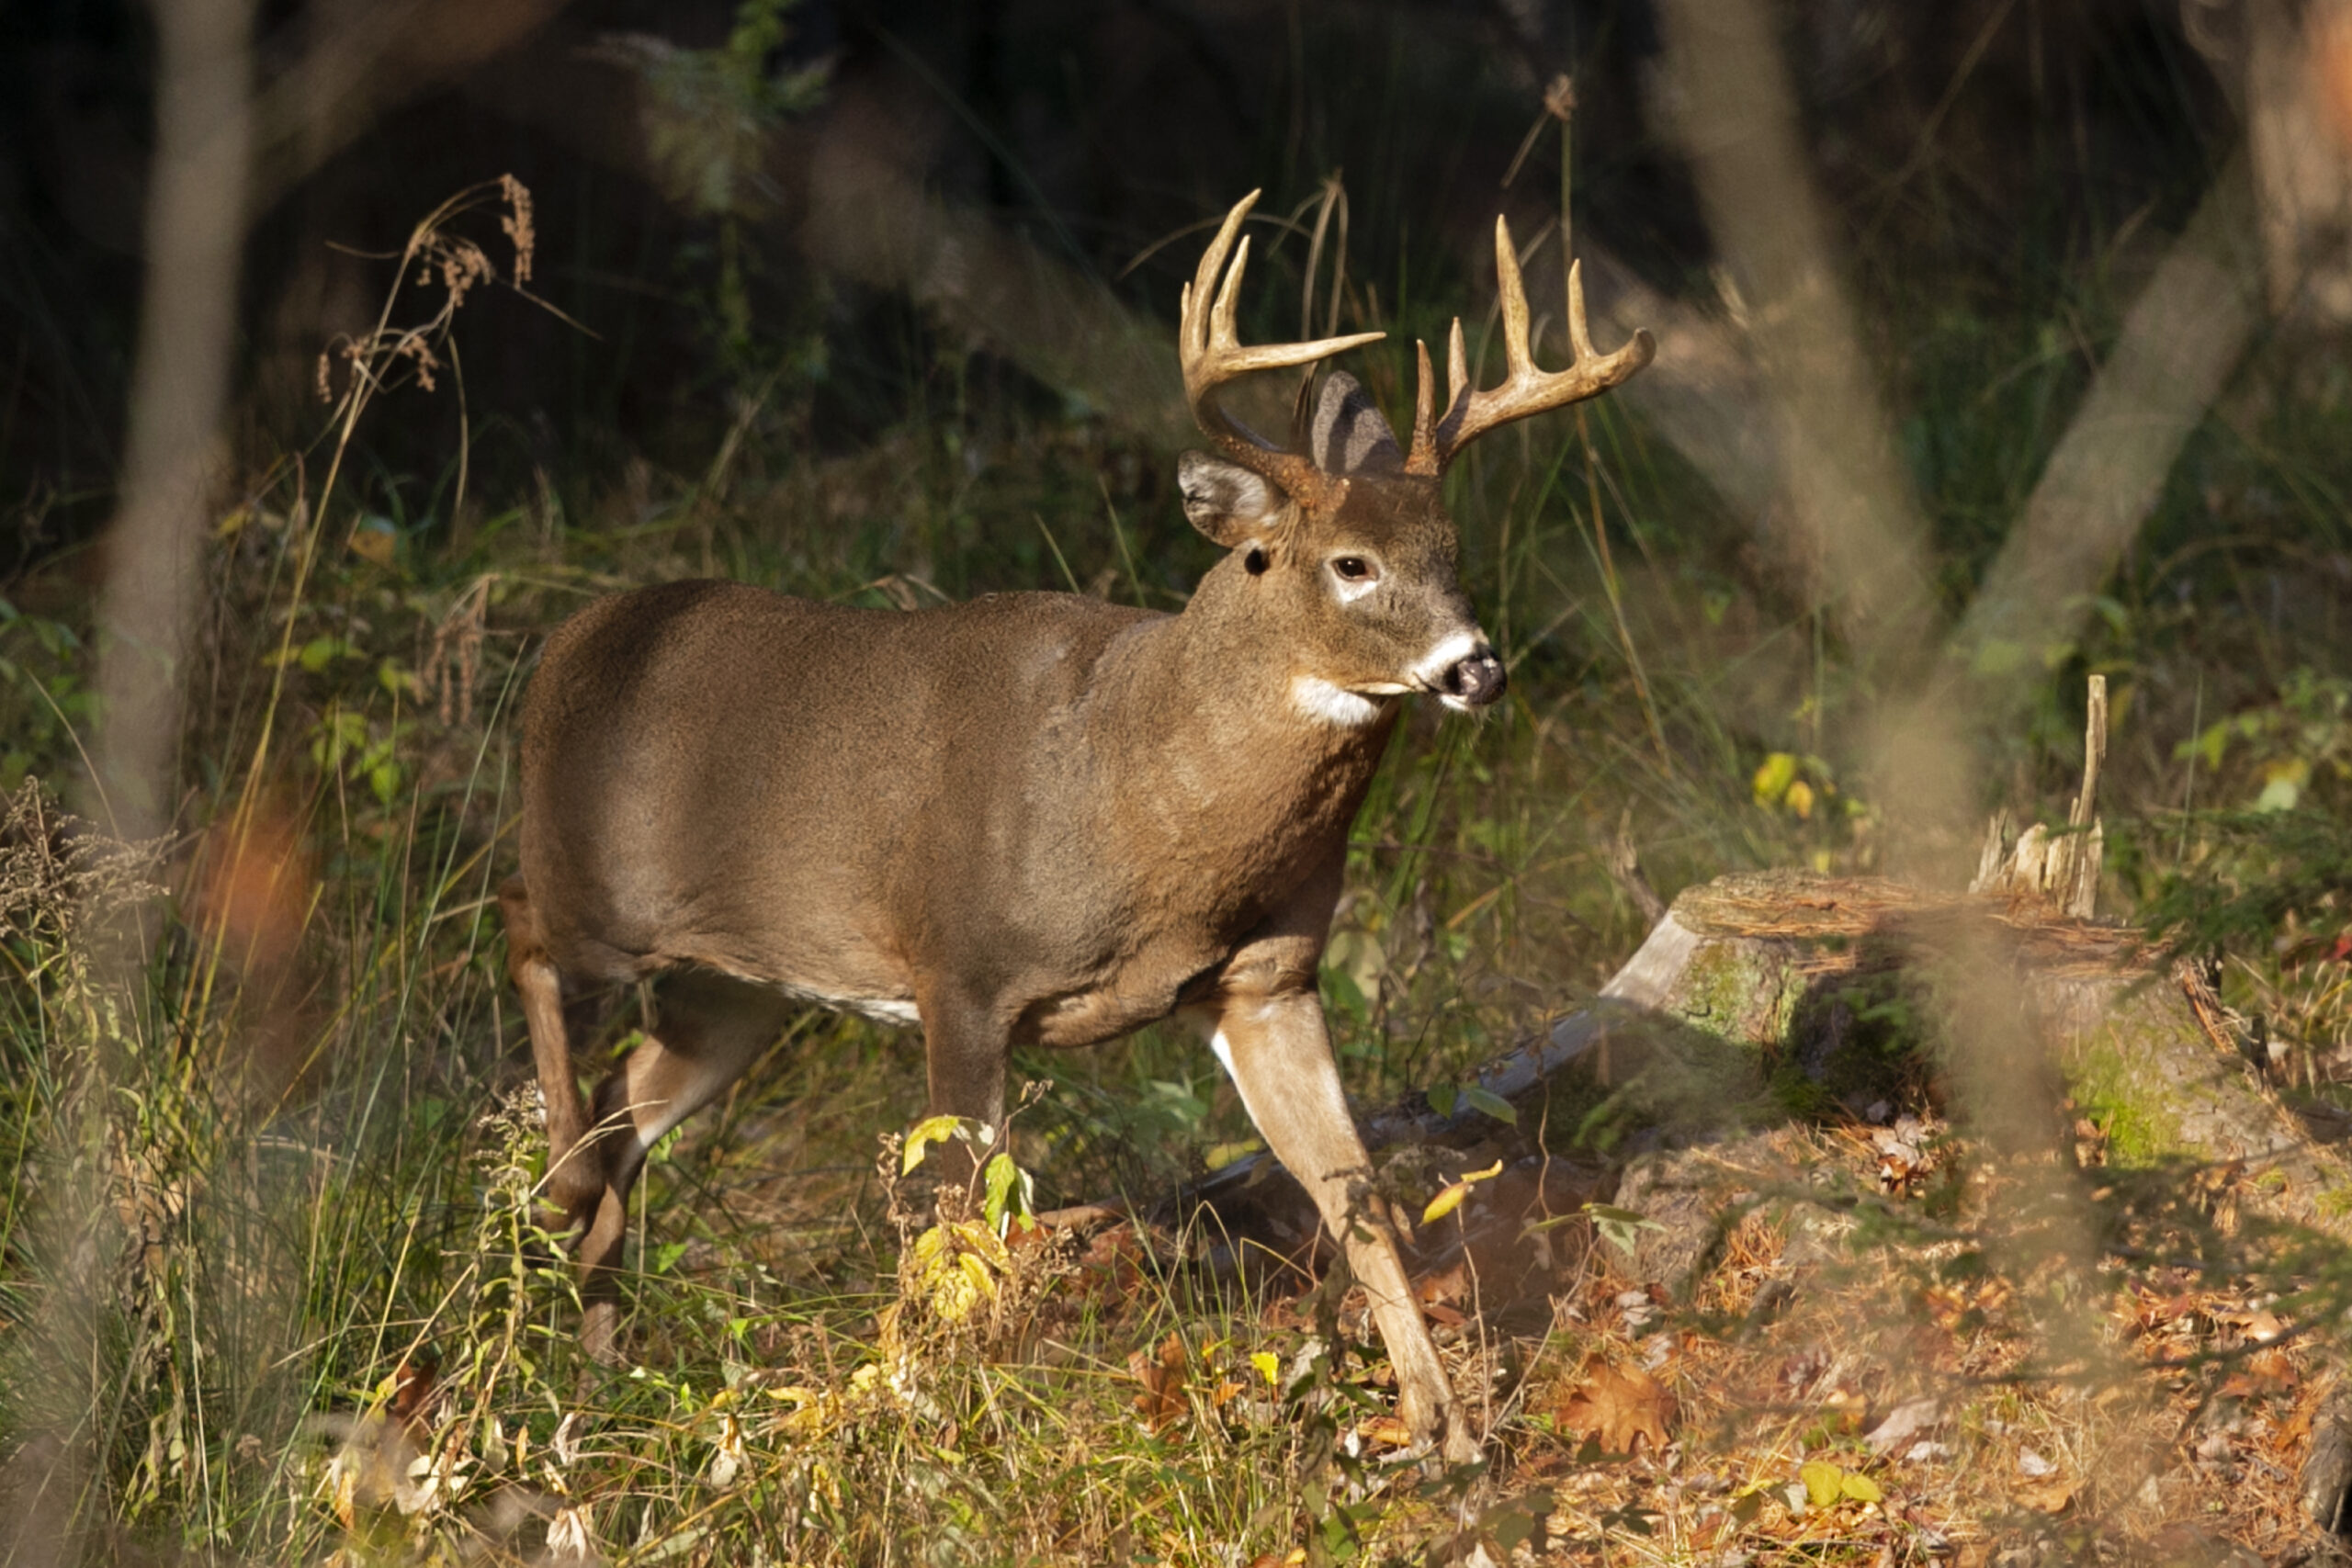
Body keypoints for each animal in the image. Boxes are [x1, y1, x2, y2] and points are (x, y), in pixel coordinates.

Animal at [501, 192, 1656, 1457]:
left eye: (1450, 554)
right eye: (1350, 563)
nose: (1476, 667)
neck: (1139, 806)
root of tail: (564, 646)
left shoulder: (1266, 979)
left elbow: (1353, 1195)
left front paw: (1444, 1435)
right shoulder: (959, 968)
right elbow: (961, 1229)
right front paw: (943, 1419)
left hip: (740, 985)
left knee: (627, 1107)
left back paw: (595, 1356)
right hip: (593, 888)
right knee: (525, 946)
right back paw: (558, 1217)